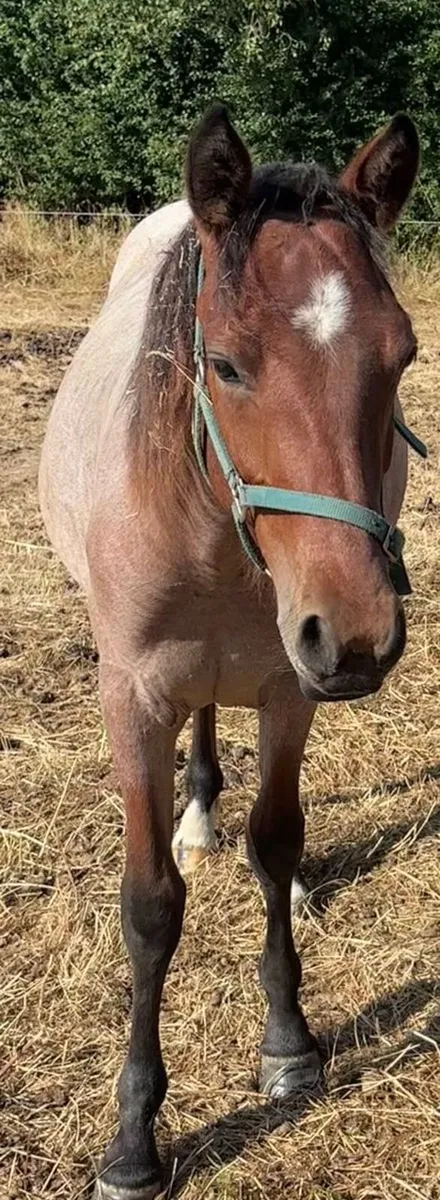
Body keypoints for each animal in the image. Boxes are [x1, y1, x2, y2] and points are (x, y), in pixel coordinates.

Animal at [39, 104, 421, 1199]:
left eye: (401, 358)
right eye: (227, 364)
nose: (358, 636)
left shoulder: (290, 687)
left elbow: (277, 838)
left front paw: (289, 1043)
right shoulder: (132, 699)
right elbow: (149, 908)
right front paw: (132, 1140)